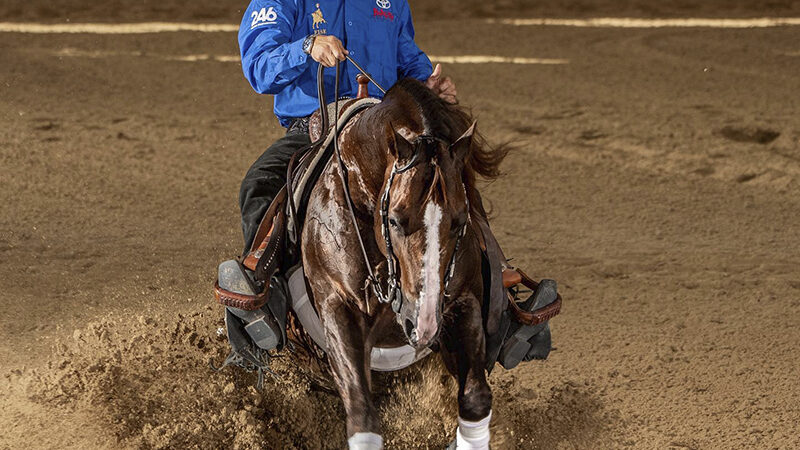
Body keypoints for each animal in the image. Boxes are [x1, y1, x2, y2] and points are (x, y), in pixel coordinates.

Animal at [300, 75, 512, 448]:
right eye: (395, 220)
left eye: (459, 220)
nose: (422, 324)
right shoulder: (338, 306)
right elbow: (362, 415)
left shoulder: (463, 302)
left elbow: (475, 398)